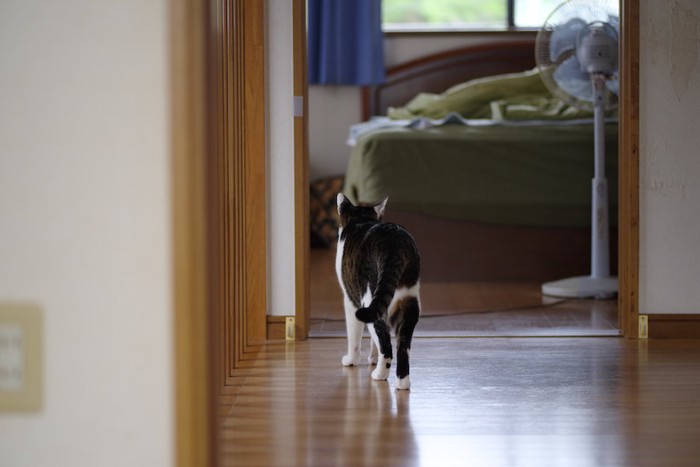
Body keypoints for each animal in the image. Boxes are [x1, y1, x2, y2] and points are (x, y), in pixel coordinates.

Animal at [334, 194, 422, 392]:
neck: (362, 219)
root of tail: (393, 245)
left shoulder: (350, 301)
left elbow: (354, 337)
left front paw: (351, 360)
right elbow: (374, 343)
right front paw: (373, 358)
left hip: (368, 301)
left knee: (385, 342)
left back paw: (380, 375)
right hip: (407, 301)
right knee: (402, 346)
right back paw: (402, 383)